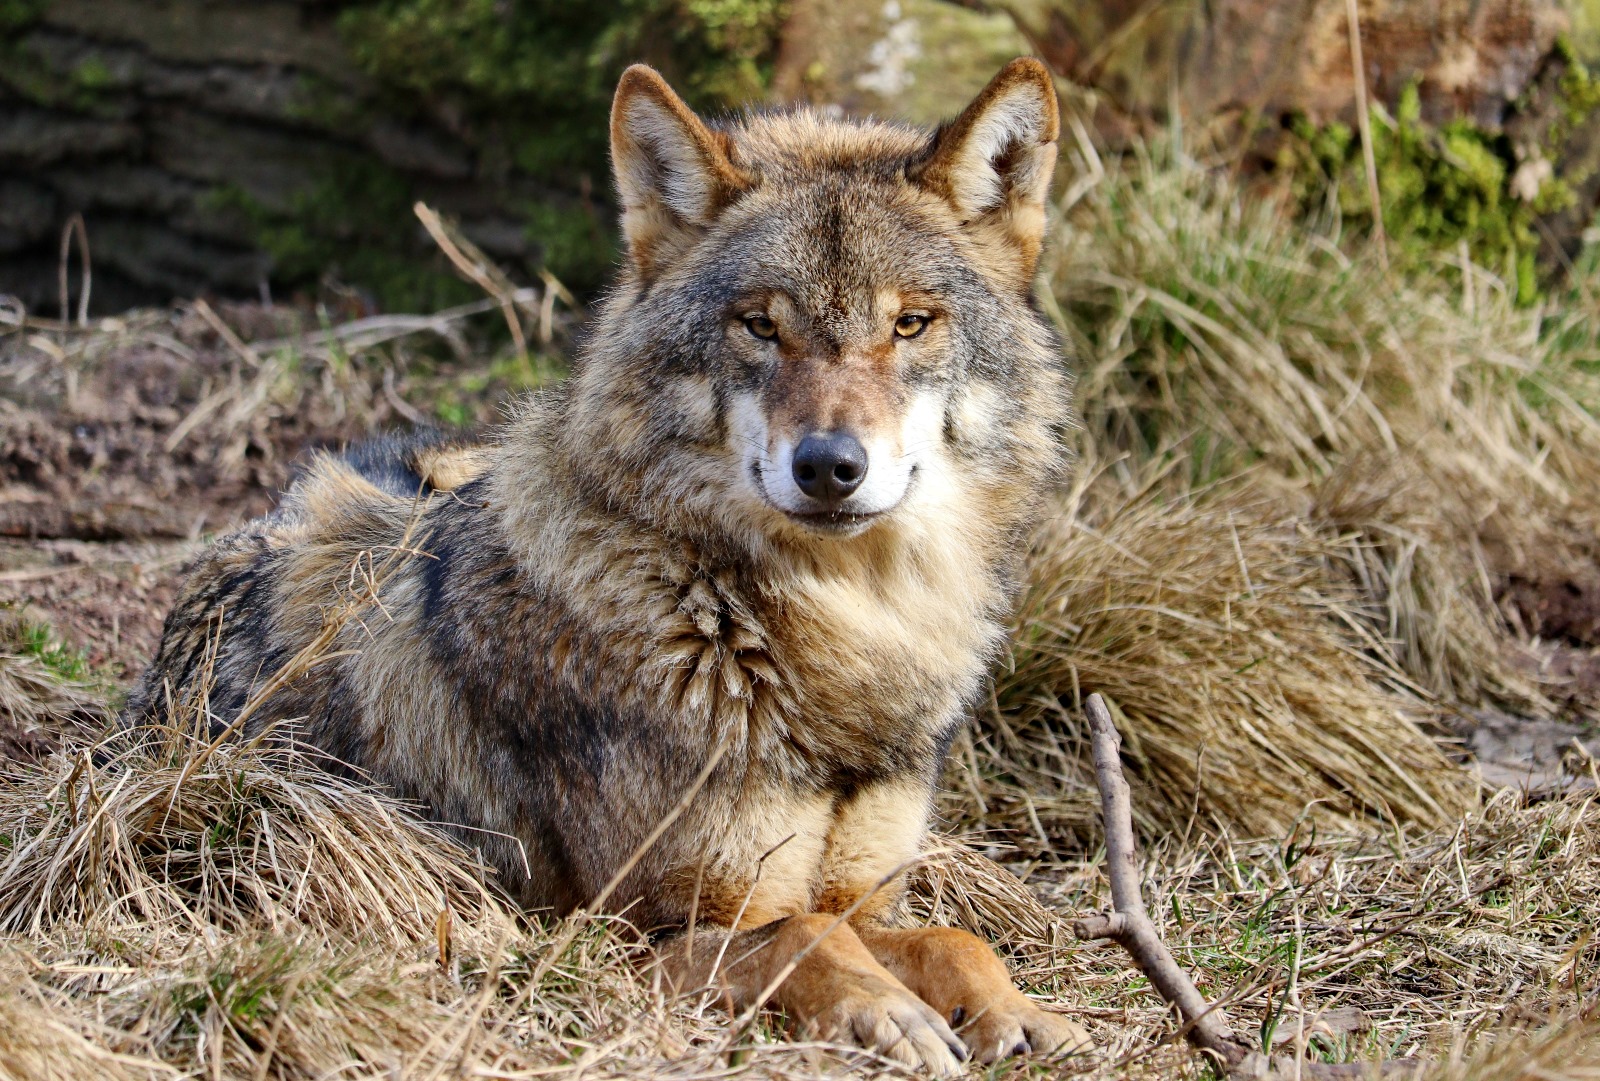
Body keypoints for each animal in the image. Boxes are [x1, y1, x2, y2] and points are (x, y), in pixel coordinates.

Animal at [127, 59, 1083, 1073]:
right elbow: (803, 937)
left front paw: (1016, 1012)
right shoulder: (632, 930)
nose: (830, 466)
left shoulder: (861, 895)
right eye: (759, 326)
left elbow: (952, 937)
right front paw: (891, 1013)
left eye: (910, 324)